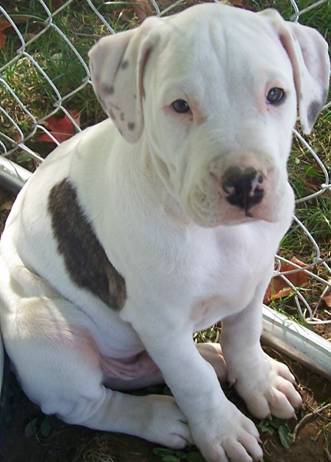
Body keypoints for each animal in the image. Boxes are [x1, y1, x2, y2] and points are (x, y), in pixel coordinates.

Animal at [0, 4, 330, 462]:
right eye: (179, 106)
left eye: (276, 95)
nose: (244, 184)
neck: (216, 235)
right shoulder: (158, 320)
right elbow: (192, 380)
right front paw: (223, 431)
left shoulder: (256, 279)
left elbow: (244, 336)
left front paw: (258, 381)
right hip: (42, 330)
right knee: (91, 402)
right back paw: (158, 417)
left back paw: (209, 355)